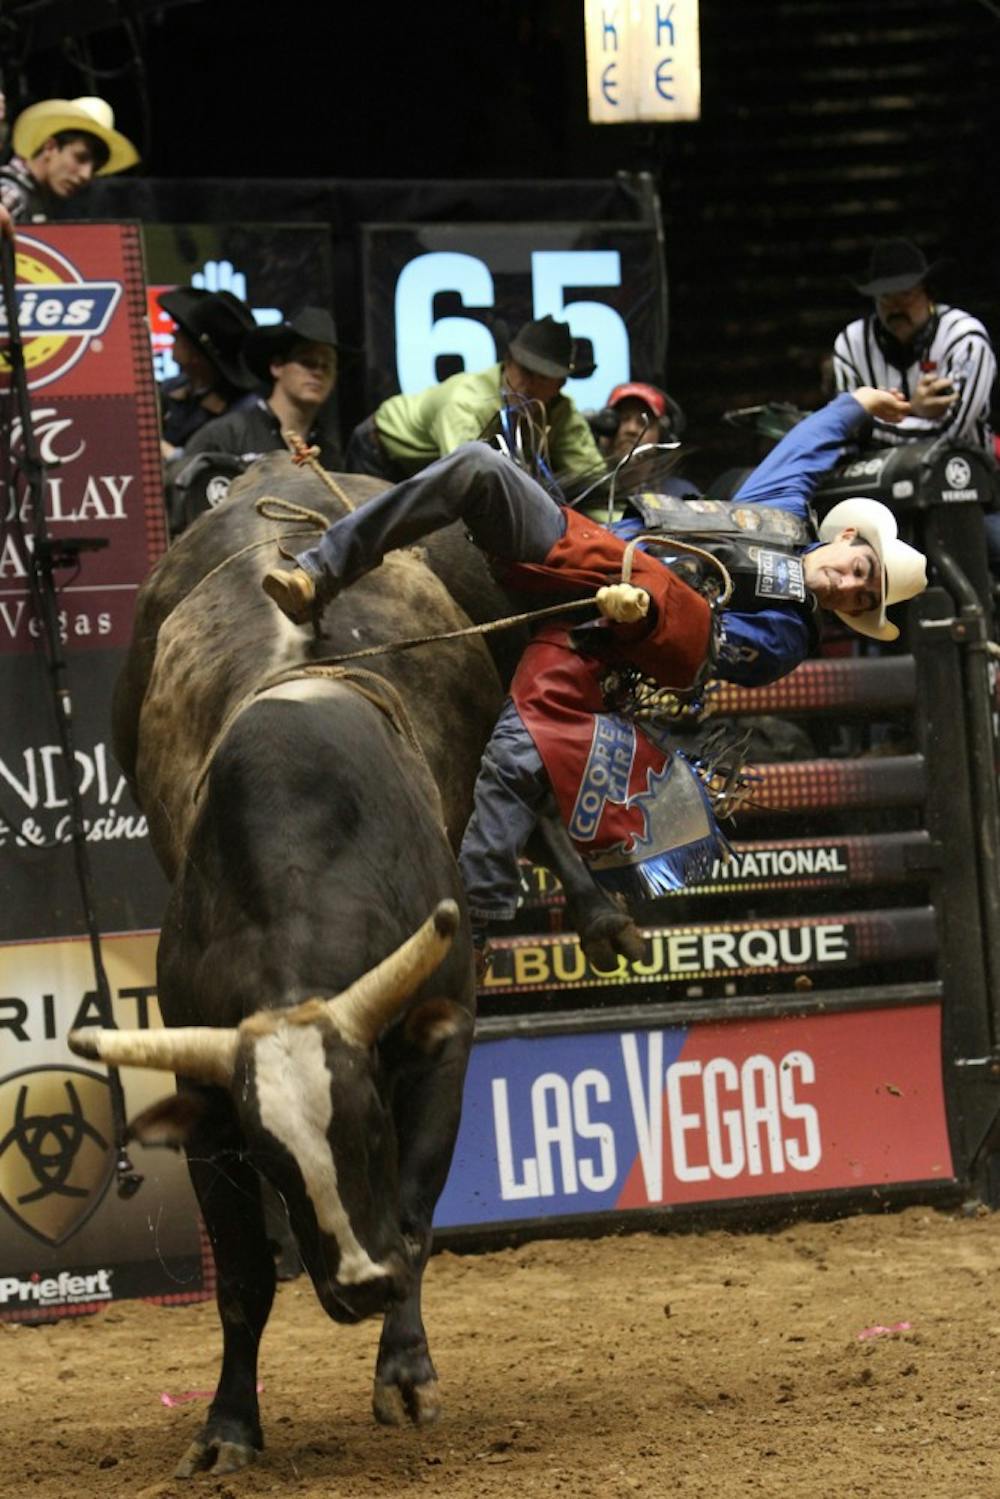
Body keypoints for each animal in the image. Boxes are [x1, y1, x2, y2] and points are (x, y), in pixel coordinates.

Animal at [66, 452, 638, 1475]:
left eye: (372, 1122)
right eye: (268, 1155)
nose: (362, 1284)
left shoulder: (438, 1043)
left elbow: (412, 1217)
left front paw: (405, 1373)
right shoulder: (209, 1105)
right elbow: (242, 1278)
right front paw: (227, 1426)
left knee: (526, 773)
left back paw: (602, 912)